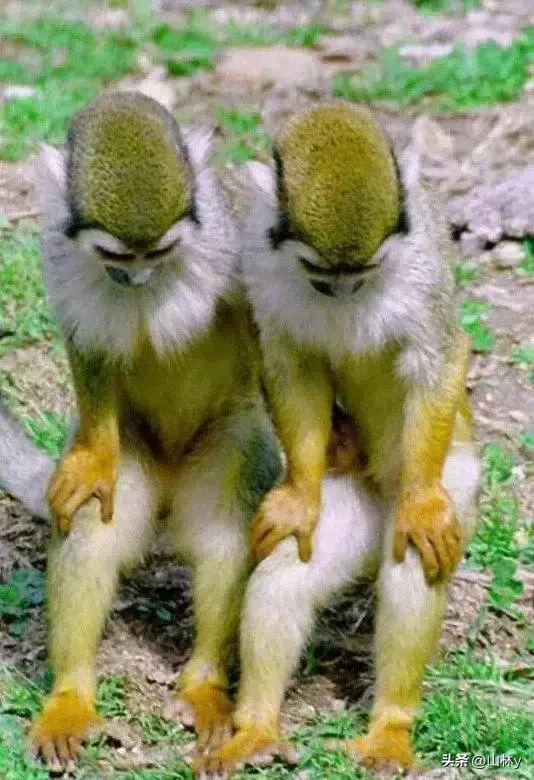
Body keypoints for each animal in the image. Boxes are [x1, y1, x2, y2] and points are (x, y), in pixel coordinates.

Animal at [0, 91, 288, 773]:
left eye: (155, 256)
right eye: (115, 258)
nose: (134, 280)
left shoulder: (225, 236)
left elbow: (263, 328)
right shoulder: (56, 249)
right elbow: (86, 340)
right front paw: (92, 463)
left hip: (230, 433)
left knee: (222, 533)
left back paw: (204, 686)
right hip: (139, 454)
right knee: (92, 529)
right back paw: (70, 695)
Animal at [195, 103, 481, 774]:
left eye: (364, 273)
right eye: (322, 277)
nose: (346, 292)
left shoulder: (423, 251)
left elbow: (438, 355)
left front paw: (422, 506)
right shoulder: (256, 245)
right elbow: (287, 362)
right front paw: (299, 496)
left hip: (453, 473)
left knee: (411, 558)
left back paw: (389, 728)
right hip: (351, 500)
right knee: (284, 573)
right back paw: (256, 729)